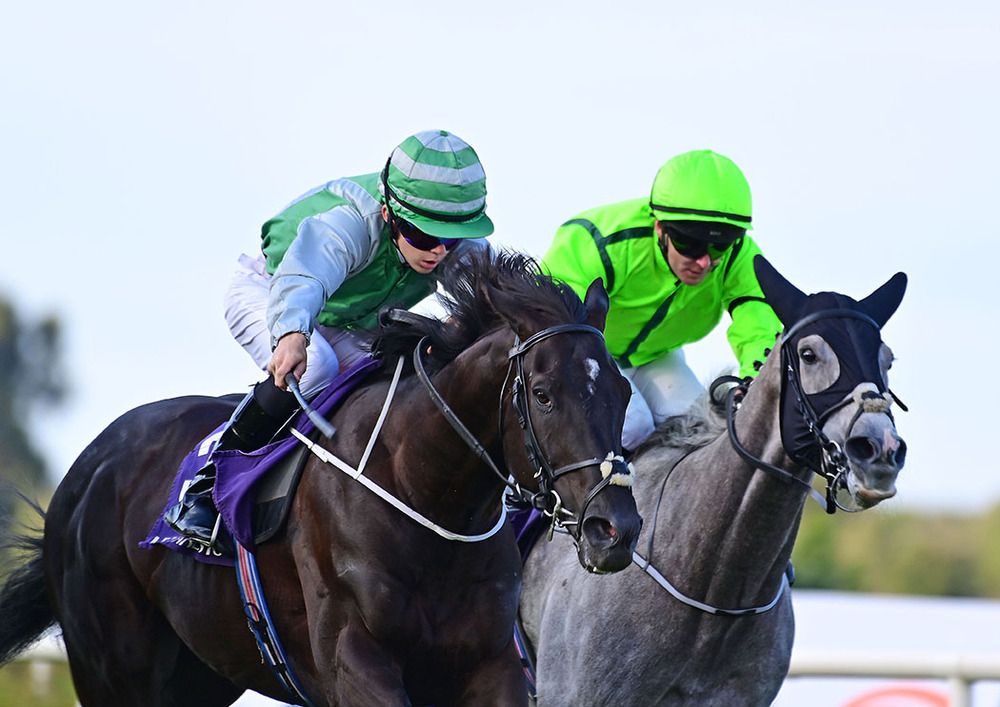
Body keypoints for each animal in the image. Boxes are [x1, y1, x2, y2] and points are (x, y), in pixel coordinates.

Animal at [0, 252, 640, 704]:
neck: (422, 490)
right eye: (543, 394)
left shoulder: (489, 663)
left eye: (623, 390)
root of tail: (88, 468)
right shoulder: (353, 659)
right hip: (113, 669)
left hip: (198, 674)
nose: (616, 529)